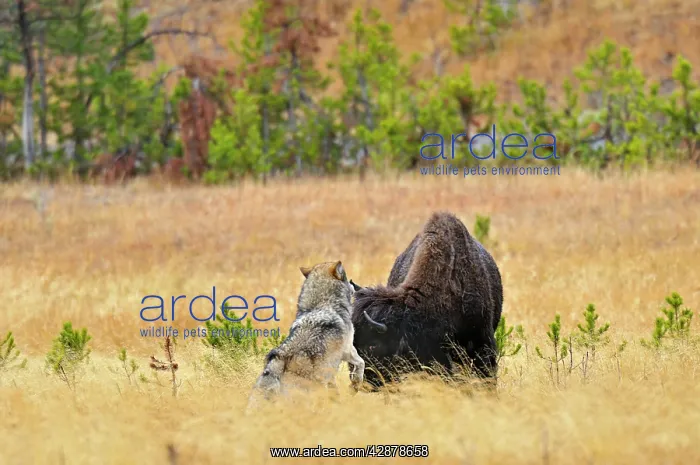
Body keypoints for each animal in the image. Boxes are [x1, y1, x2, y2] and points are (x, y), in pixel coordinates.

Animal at [247, 261, 365, 410]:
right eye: (346, 278)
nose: (354, 284)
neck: (322, 305)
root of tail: (276, 366)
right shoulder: (347, 350)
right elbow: (361, 363)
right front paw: (355, 385)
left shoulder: (330, 370)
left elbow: (334, 387)